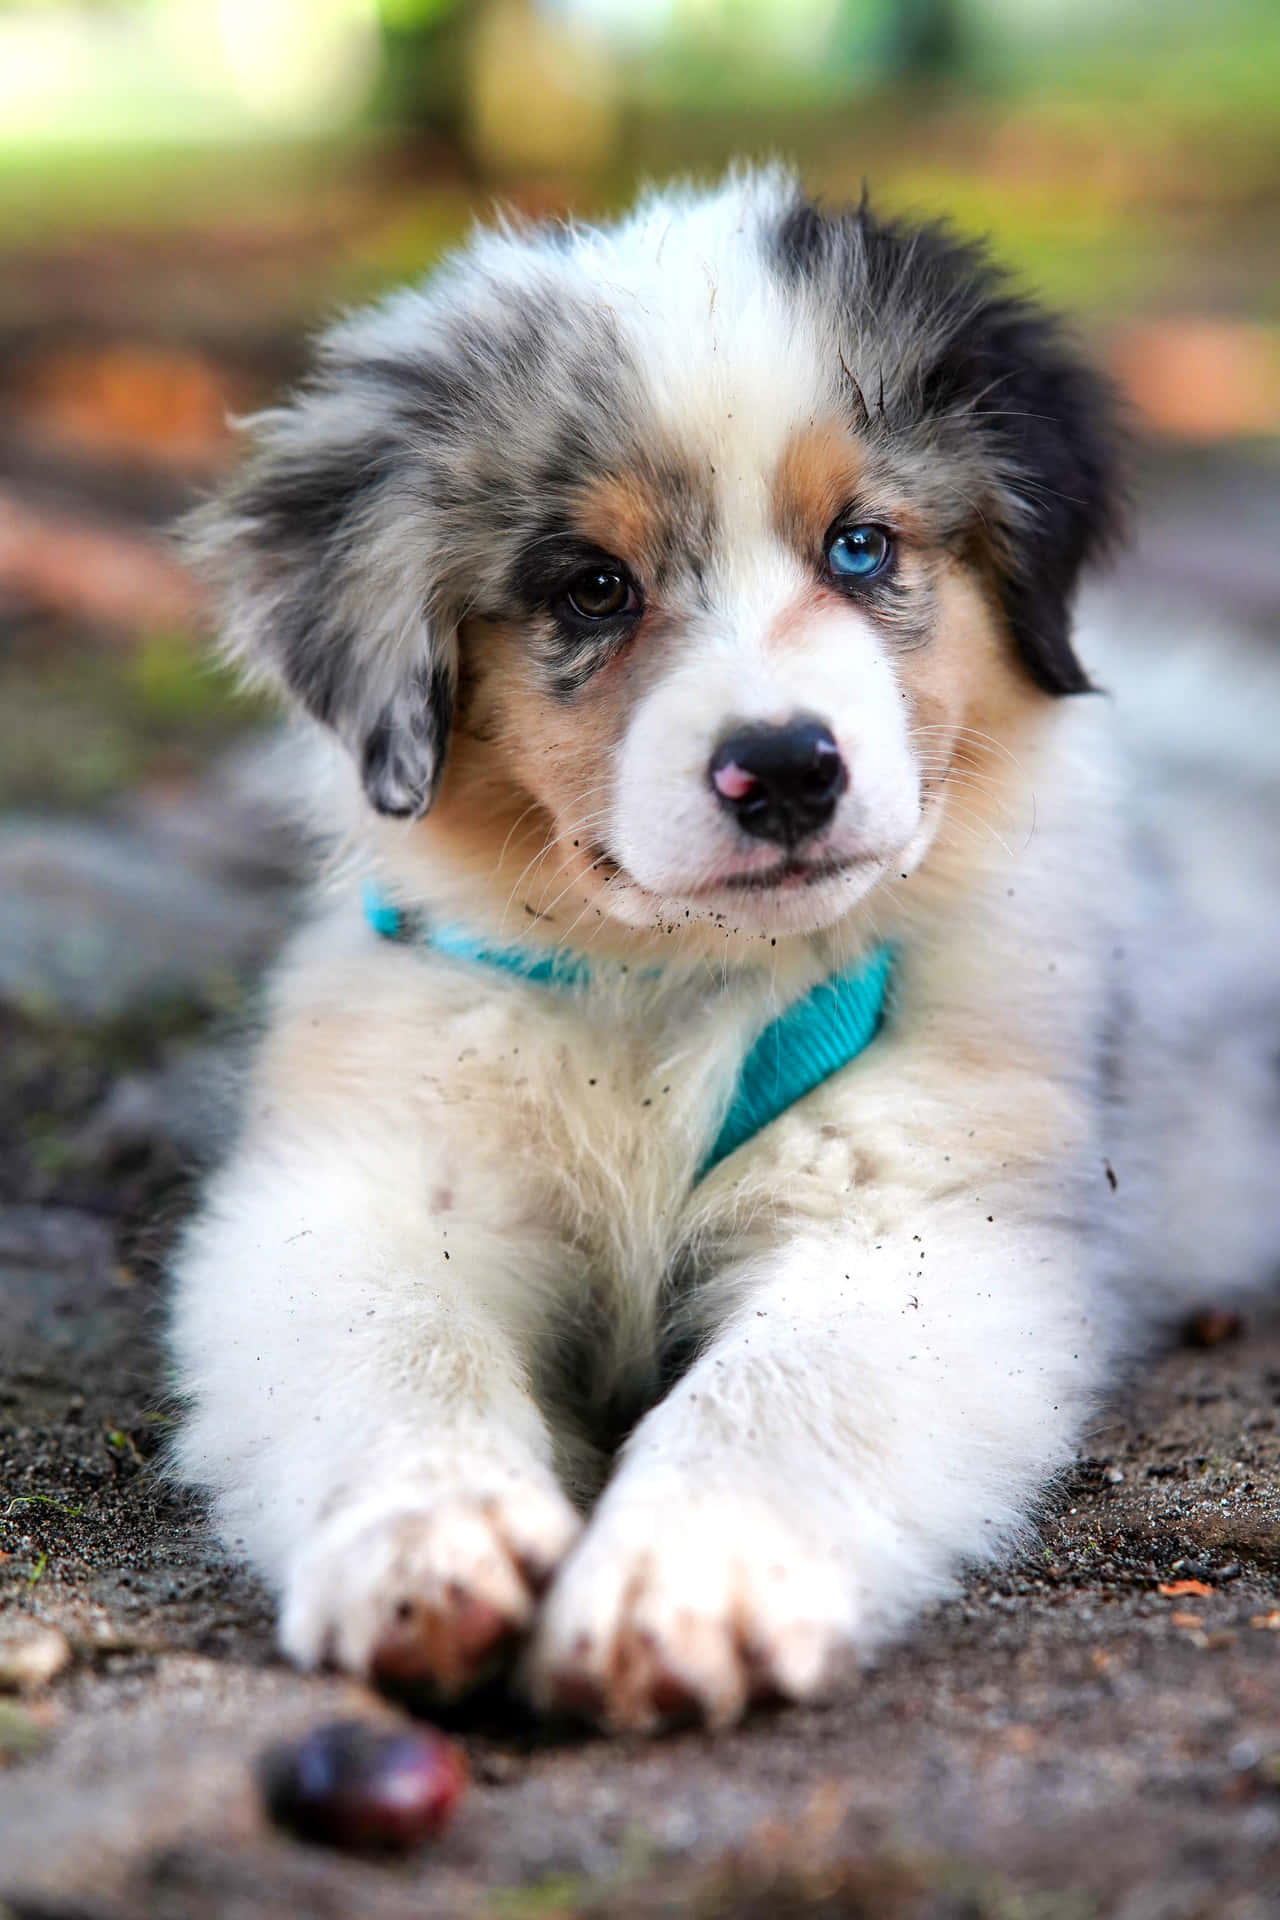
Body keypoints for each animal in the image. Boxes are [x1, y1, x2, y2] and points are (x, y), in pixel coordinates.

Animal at [169, 161, 1258, 1728]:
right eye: (592, 587)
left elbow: (783, 1392)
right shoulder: (355, 1183)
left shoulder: (928, 1221)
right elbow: (392, 1350)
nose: (787, 769)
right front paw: (428, 1543)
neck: (674, 987)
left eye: (862, 544)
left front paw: (679, 1582)